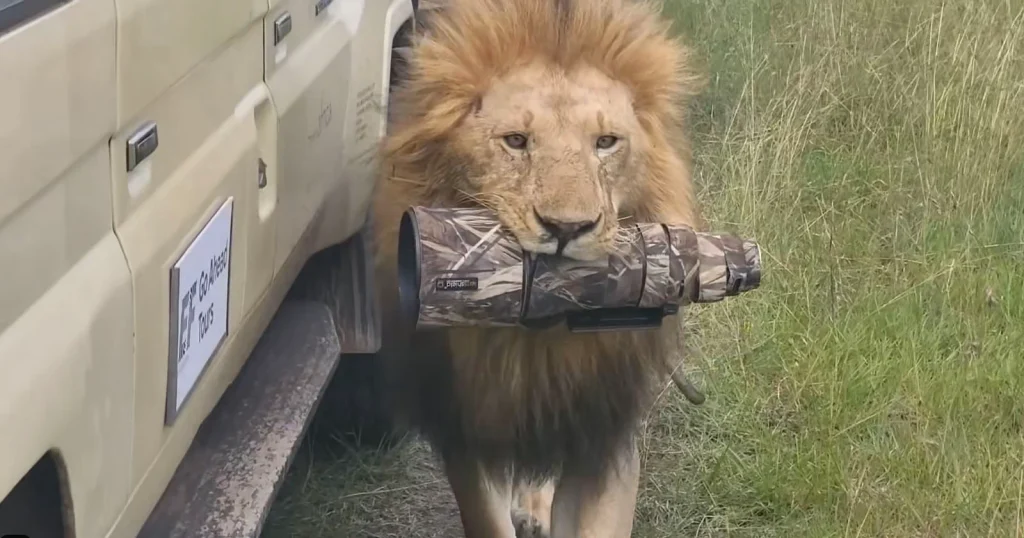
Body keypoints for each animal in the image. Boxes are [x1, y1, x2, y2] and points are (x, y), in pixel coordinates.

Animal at [370, 0, 704, 535]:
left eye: (606, 142)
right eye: (515, 141)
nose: (568, 228)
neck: (538, 347)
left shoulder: (604, 435)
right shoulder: (464, 429)